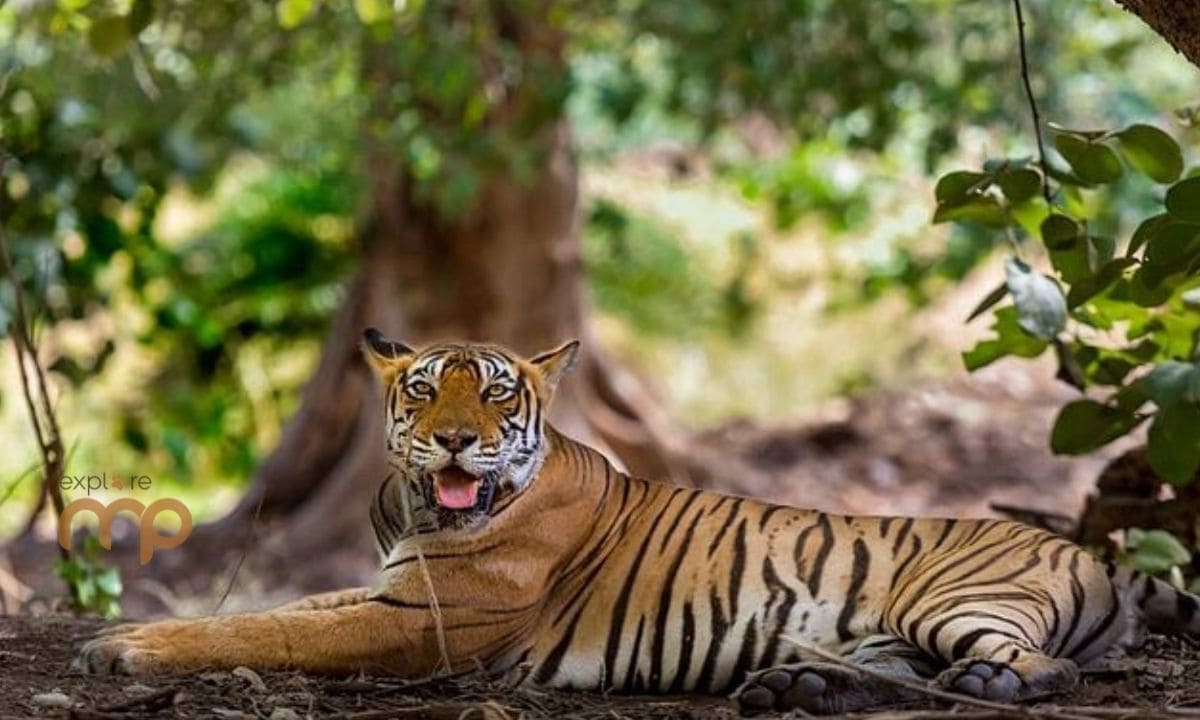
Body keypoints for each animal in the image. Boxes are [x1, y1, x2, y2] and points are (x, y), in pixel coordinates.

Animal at [76, 332, 1200, 714]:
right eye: (426, 390)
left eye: (494, 394)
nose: (455, 443)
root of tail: (1083, 547)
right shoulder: (390, 588)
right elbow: (282, 610)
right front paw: (126, 637)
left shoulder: (421, 620)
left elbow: (270, 627)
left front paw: (122, 648)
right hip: (888, 630)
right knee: (904, 676)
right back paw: (795, 690)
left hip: (955, 598)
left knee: (1032, 674)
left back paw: (974, 686)